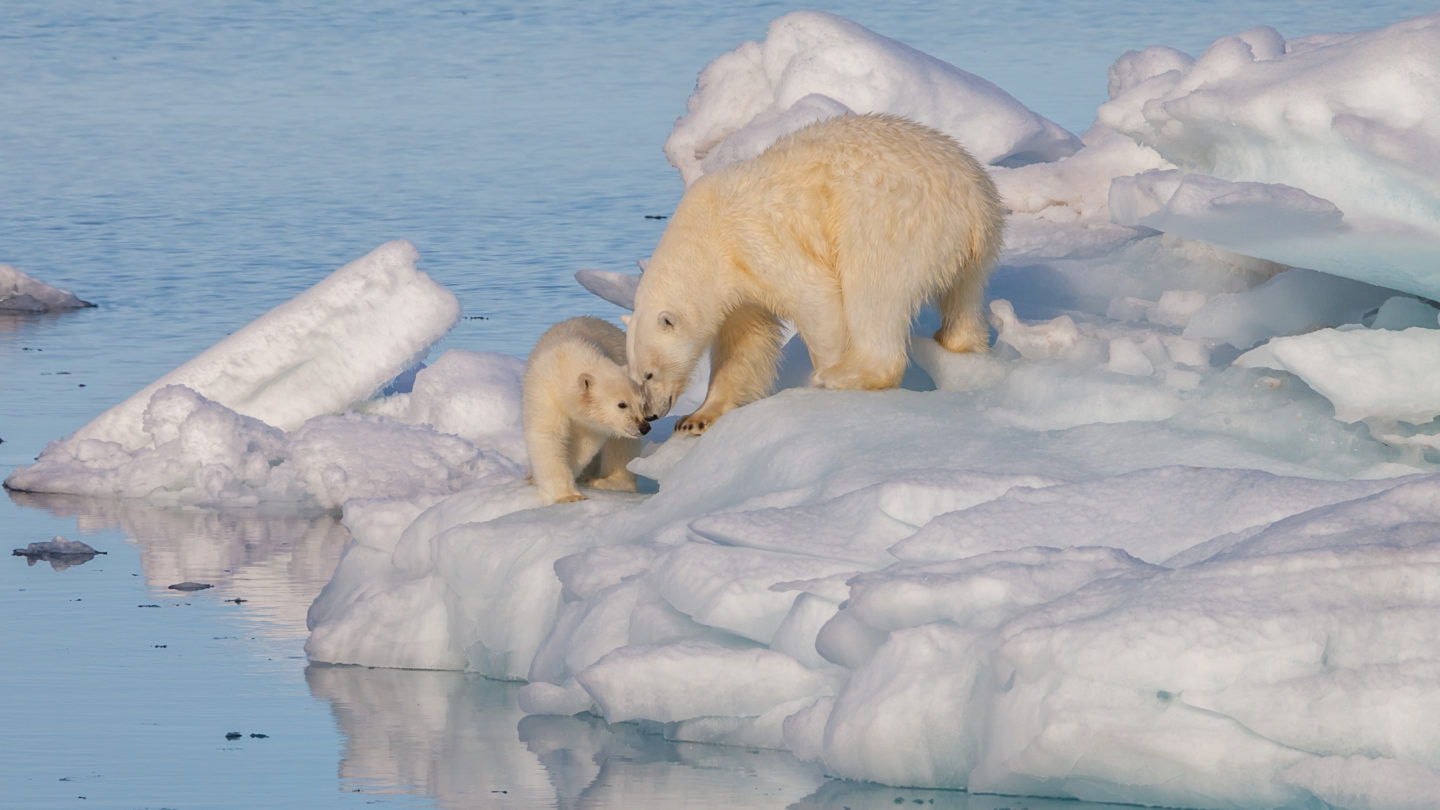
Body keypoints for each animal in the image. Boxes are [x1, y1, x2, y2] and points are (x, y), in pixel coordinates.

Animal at [624, 111, 1008, 435]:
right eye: (633, 375)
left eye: (649, 373)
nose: (652, 414)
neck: (706, 237)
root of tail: (974, 201)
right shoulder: (737, 284)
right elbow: (743, 344)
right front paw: (697, 418)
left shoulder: (756, 241)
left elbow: (815, 298)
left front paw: (825, 371)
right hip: (973, 247)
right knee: (964, 296)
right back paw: (958, 342)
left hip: (890, 219)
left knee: (874, 290)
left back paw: (844, 375)